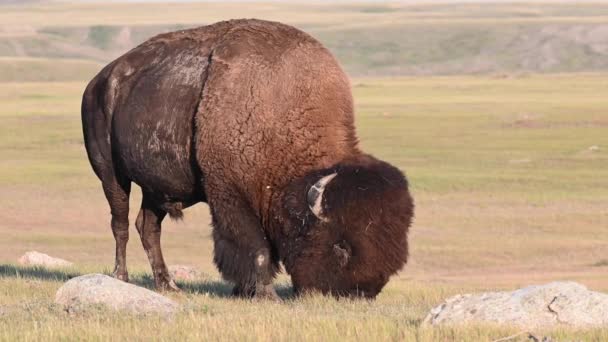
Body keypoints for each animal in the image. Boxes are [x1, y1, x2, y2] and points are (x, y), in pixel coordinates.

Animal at [81, 18, 414, 300]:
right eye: (341, 247)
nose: (357, 294)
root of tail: (100, 81)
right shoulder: (230, 196)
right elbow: (257, 249)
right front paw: (266, 295)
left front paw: (244, 292)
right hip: (111, 174)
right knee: (121, 223)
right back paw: (121, 277)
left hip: (156, 189)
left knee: (148, 227)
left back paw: (168, 284)